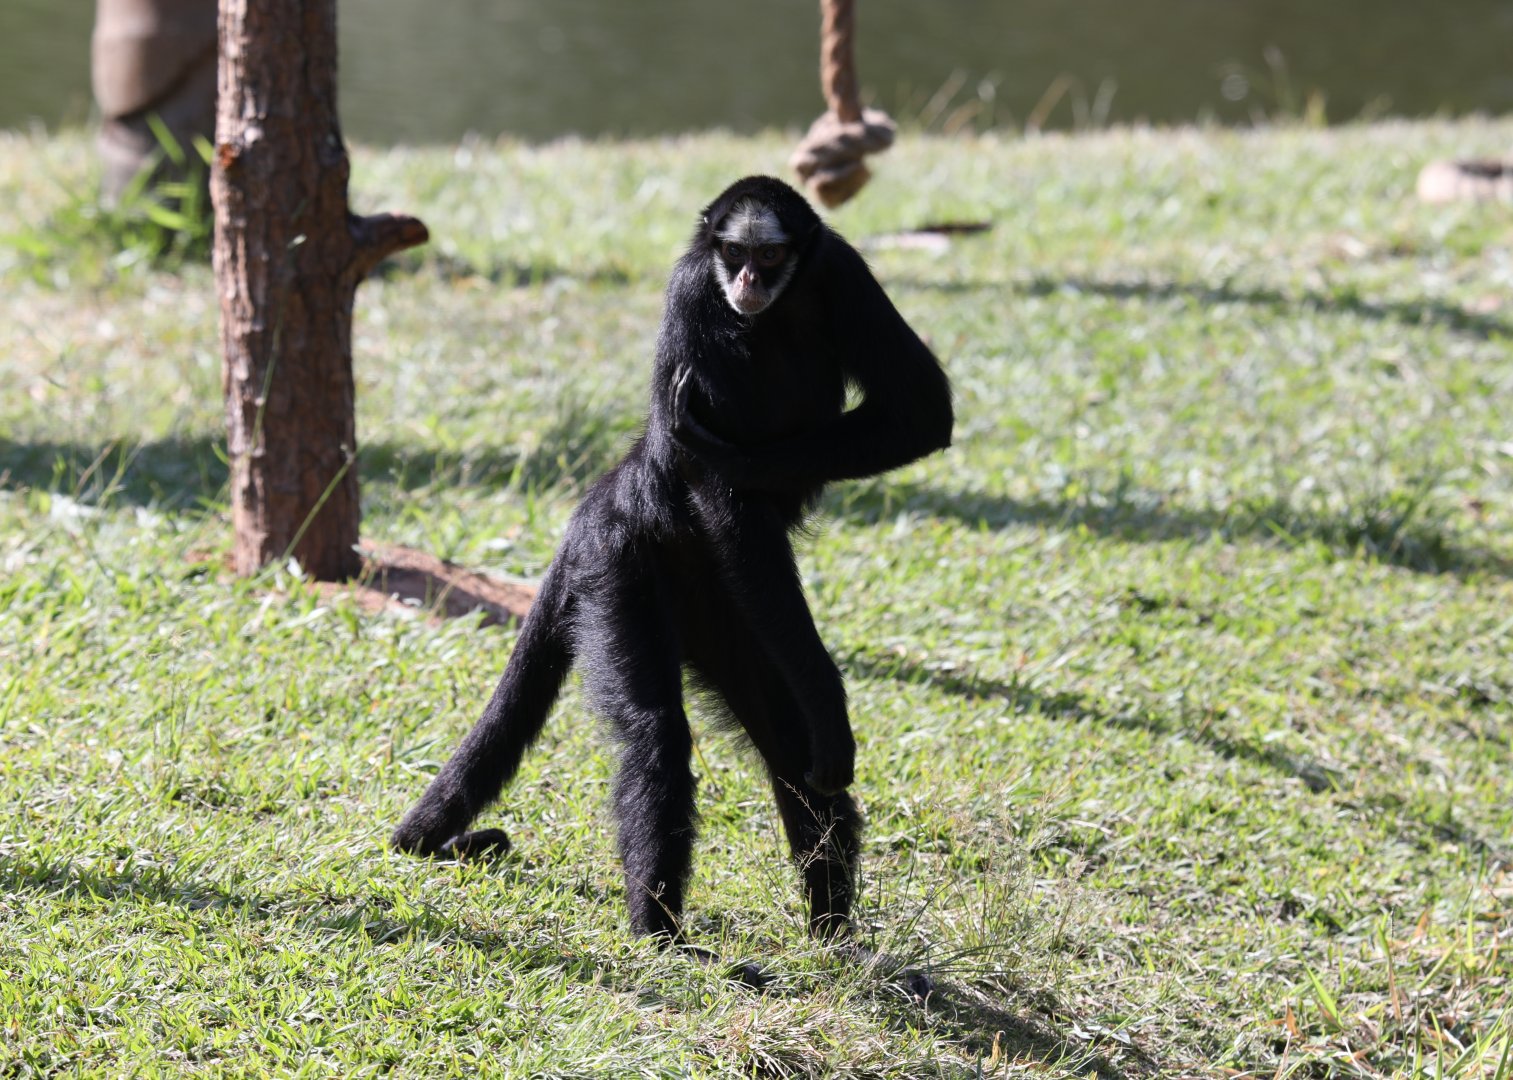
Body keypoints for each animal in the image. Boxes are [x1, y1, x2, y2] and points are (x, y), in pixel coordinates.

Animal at [392, 175, 953, 968]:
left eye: (770, 255)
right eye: (732, 253)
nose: (747, 282)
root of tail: (616, 489)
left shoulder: (839, 268)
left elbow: (921, 413)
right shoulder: (694, 292)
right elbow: (726, 492)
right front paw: (830, 699)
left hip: (722, 609)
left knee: (785, 740)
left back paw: (833, 941)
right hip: (621, 570)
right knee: (659, 733)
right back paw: (662, 937)